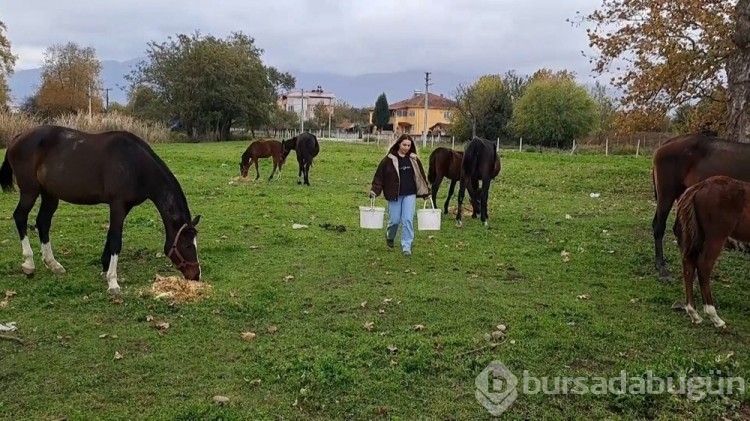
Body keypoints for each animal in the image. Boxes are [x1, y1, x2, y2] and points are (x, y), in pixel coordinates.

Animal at [0, 124, 203, 296]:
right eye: (187, 245)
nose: (196, 275)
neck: (135, 163)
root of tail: (17, 138)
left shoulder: (124, 207)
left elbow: (110, 236)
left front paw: (105, 267)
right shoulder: (118, 204)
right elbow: (115, 240)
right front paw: (112, 282)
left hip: (49, 195)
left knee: (43, 222)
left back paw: (53, 264)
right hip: (30, 191)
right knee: (20, 217)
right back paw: (29, 264)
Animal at [648, 130, 750, 282]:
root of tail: (666, 144)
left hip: (684, 194)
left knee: (679, 230)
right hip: (666, 193)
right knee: (659, 227)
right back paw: (662, 270)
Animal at [672, 174, 750, 328]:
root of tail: (698, 187)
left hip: (698, 236)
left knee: (689, 264)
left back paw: (694, 313)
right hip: (716, 237)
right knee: (704, 267)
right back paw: (715, 317)